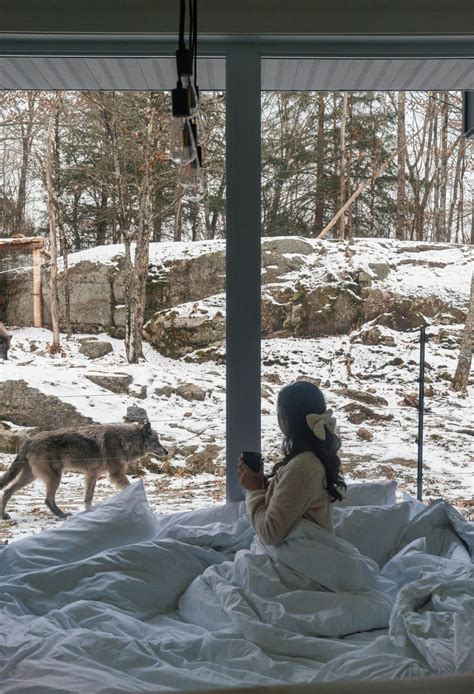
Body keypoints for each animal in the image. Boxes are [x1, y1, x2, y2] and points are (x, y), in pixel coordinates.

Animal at [0, 418, 168, 520]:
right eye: (156, 442)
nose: (167, 452)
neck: (124, 441)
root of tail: (30, 439)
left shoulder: (92, 474)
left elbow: (88, 498)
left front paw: (89, 514)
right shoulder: (116, 474)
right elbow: (129, 487)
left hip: (31, 477)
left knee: (7, 491)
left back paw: (3, 515)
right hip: (54, 477)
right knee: (47, 500)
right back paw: (62, 515)